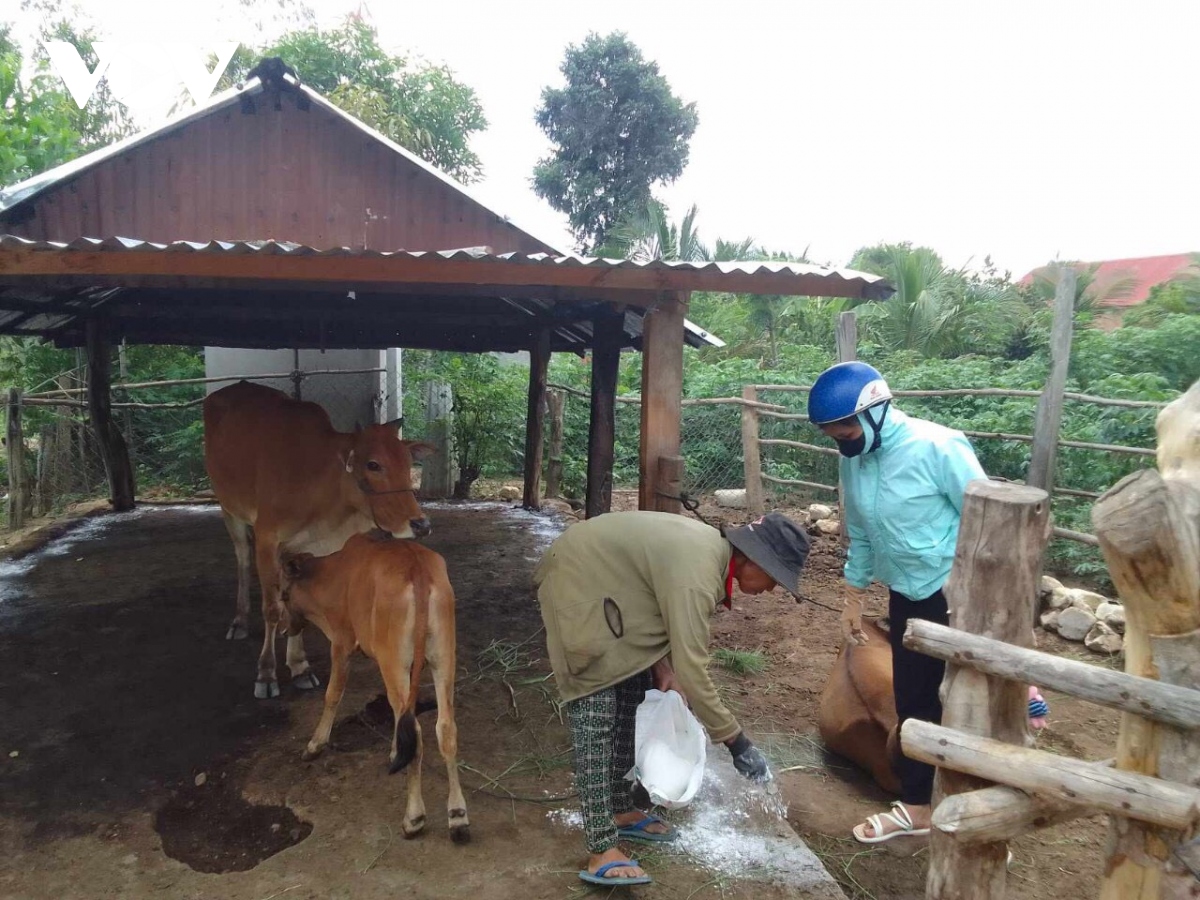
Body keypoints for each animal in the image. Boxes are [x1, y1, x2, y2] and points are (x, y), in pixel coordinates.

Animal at [204, 379, 434, 696]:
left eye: (409, 462)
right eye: (373, 464)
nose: (421, 524)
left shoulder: (309, 550)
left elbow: (297, 602)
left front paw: (300, 667)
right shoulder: (267, 539)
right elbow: (271, 608)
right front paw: (266, 673)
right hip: (229, 508)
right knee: (242, 559)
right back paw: (239, 621)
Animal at [280, 532, 468, 844]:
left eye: (284, 594)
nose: (283, 627)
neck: (335, 573)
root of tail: (417, 570)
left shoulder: (342, 642)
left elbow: (333, 694)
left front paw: (315, 744)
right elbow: (398, 712)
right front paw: (394, 750)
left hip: (396, 661)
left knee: (417, 733)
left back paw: (414, 818)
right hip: (443, 657)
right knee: (444, 727)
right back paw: (457, 816)